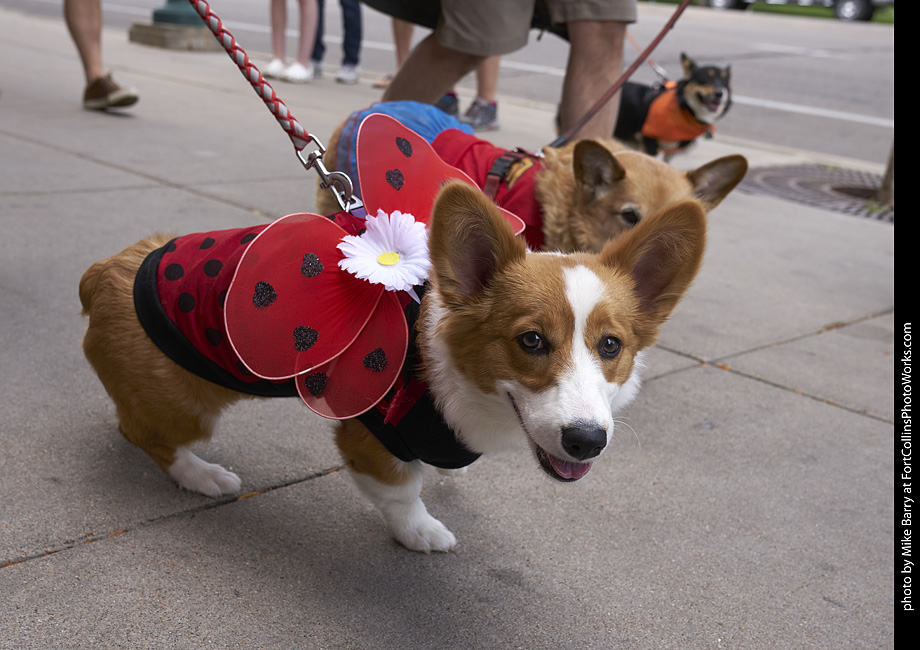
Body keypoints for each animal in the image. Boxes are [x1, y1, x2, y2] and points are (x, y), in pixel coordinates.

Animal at [80, 180, 707, 553]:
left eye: (610, 346)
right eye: (531, 340)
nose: (586, 441)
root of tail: (104, 269)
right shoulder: (374, 437)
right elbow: (402, 493)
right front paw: (421, 532)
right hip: (185, 407)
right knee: (144, 433)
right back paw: (203, 475)